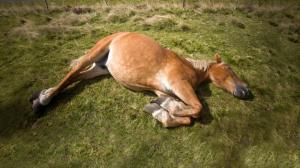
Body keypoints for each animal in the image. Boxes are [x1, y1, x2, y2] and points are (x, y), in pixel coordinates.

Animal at [29, 32, 251, 127]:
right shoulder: (180, 85)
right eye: (229, 69)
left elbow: (185, 115)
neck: (190, 68)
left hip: (101, 69)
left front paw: (158, 109)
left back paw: (41, 96)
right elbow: (197, 108)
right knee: (73, 71)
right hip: (96, 52)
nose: (246, 91)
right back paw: (43, 100)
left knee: (77, 76)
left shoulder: (165, 90)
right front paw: (165, 110)